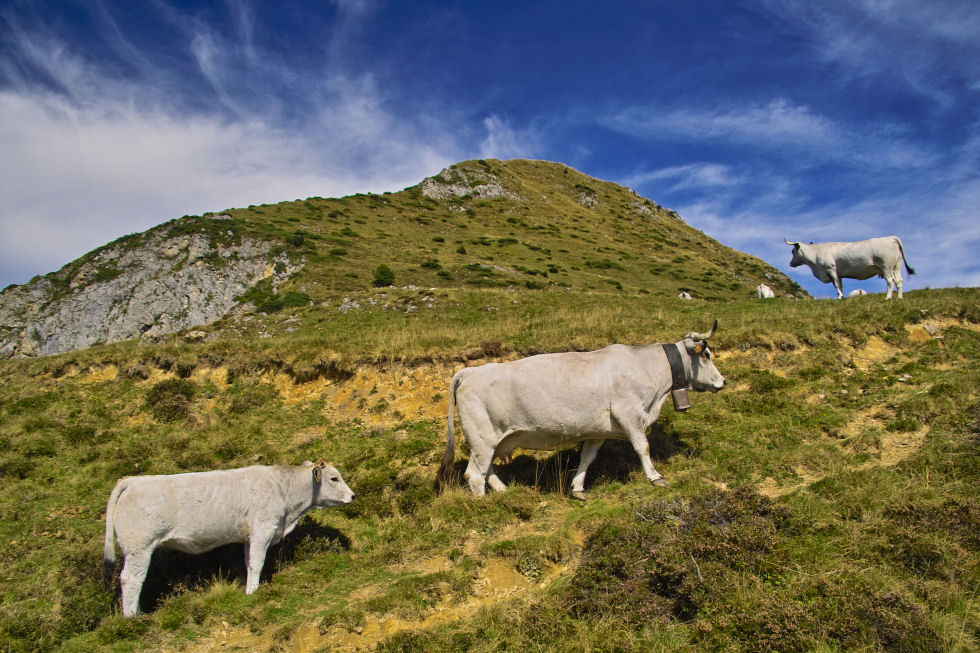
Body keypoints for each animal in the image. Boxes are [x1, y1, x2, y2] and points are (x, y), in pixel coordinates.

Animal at [103, 460, 354, 612]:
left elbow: (248, 563)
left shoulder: (249, 537)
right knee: (131, 579)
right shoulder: (263, 529)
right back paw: (132, 618)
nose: (352, 495)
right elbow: (257, 563)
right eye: (334, 478)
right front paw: (254, 592)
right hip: (139, 547)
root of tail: (134, 481)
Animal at [440, 322, 724, 500]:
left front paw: (577, 488)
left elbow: (587, 458)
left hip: (492, 441)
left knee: (487, 471)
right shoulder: (630, 414)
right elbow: (642, 447)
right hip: (482, 438)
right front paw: (655, 477)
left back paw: (504, 492)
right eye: (707, 354)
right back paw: (485, 505)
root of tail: (473, 370)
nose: (723, 382)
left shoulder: (598, 430)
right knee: (475, 475)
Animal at [784, 236, 916, 300]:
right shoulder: (838, 273)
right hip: (896, 266)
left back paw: (888, 297)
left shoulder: (831, 270)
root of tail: (891, 237)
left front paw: (839, 296)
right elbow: (840, 285)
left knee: (890, 281)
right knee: (899, 281)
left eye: (792, 251)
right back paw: (900, 297)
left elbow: (836, 285)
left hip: (886, 267)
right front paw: (842, 296)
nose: (790, 264)